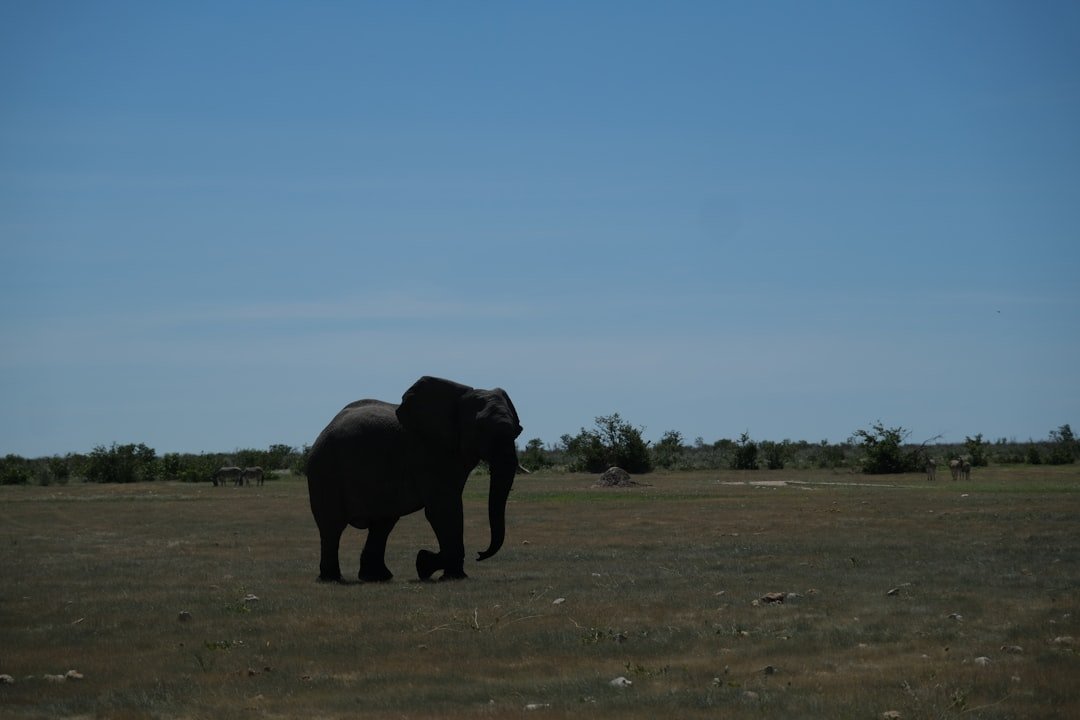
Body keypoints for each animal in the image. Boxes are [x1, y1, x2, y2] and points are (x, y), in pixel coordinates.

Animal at [306, 376, 523, 583]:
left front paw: (426, 564)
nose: (479, 554)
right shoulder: (427, 453)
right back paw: (332, 578)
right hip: (324, 470)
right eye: (481, 428)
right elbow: (443, 510)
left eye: (517, 431)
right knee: (332, 527)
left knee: (383, 524)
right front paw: (437, 569)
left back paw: (377, 577)